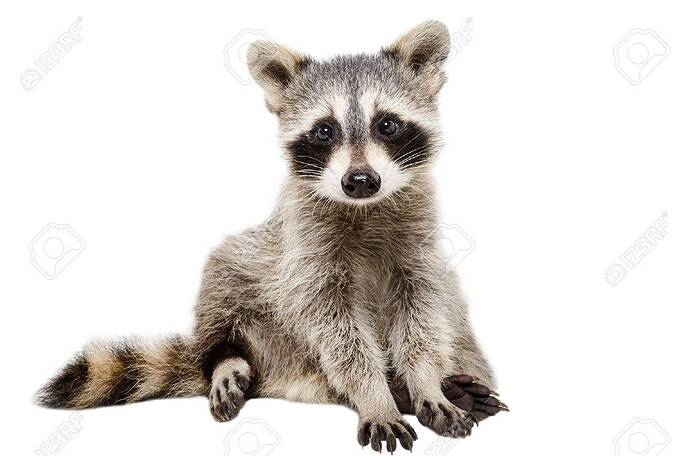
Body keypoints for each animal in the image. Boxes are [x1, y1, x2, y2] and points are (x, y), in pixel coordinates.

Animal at [37, 20, 507, 452]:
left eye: (387, 125)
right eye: (324, 130)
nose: (360, 181)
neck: (363, 209)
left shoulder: (418, 247)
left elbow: (423, 314)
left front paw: (424, 381)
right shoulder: (304, 252)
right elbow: (338, 333)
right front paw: (375, 394)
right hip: (261, 293)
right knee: (224, 275)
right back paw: (229, 360)